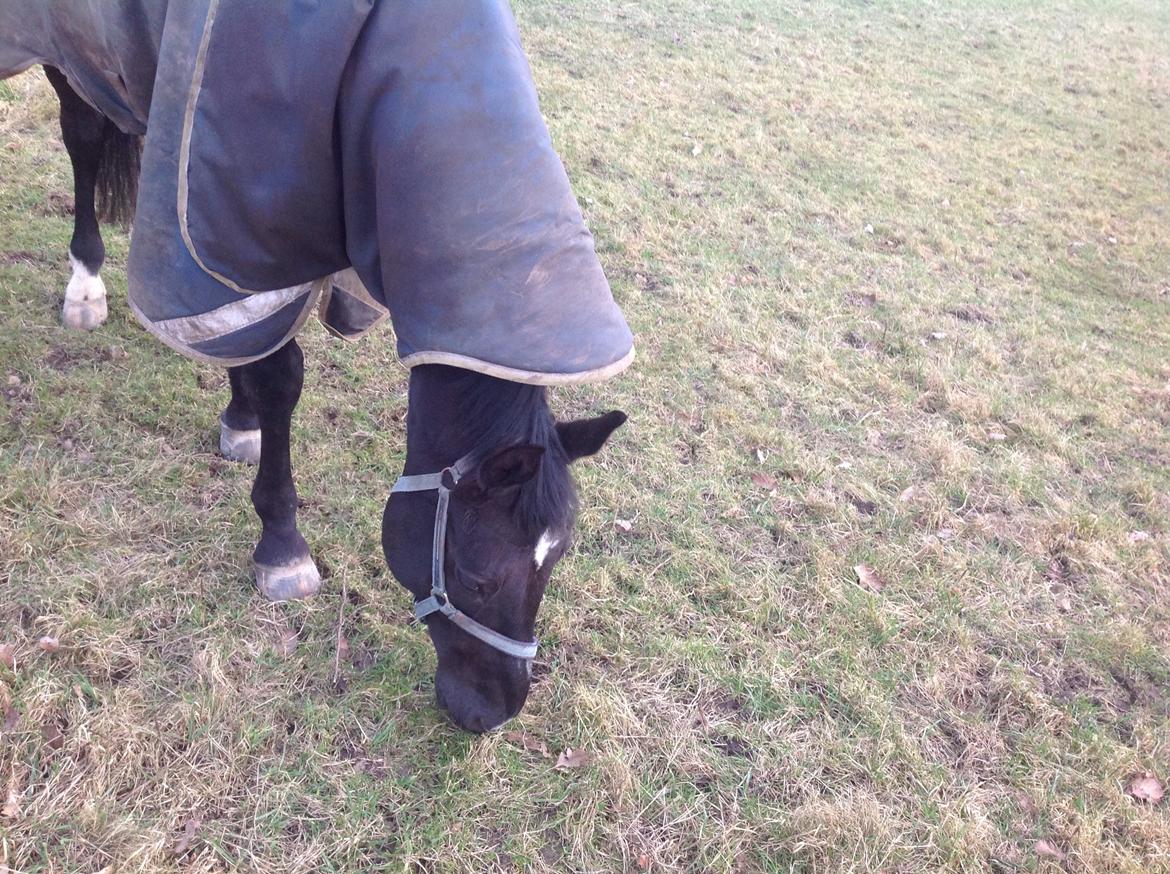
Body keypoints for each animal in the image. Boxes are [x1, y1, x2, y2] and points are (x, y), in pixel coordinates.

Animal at [0, 0, 636, 730]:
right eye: (479, 578)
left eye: (556, 560)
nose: (493, 714)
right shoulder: (237, 218)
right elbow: (280, 375)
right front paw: (282, 543)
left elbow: (251, 341)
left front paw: (241, 417)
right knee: (80, 135)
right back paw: (85, 284)